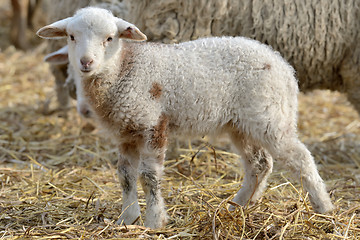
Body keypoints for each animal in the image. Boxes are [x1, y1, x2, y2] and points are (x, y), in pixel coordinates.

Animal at [37, 7, 334, 229]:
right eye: (71, 36)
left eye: (110, 38)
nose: (86, 62)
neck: (124, 68)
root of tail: (282, 64)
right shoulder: (126, 131)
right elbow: (125, 175)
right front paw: (127, 218)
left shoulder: (153, 123)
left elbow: (149, 176)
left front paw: (154, 221)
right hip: (240, 124)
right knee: (259, 164)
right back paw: (238, 206)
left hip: (270, 117)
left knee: (301, 158)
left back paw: (324, 208)